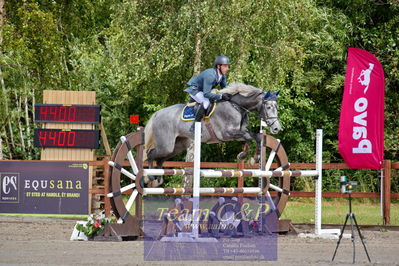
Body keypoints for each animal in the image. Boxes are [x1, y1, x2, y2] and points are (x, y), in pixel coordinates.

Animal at [144, 83, 282, 187]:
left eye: (276, 107)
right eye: (268, 107)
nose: (276, 128)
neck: (237, 107)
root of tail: (157, 114)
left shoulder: (240, 132)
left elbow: (253, 137)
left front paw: (247, 156)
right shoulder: (226, 134)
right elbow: (251, 136)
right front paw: (250, 157)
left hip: (176, 147)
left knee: (160, 159)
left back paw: (158, 179)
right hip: (166, 145)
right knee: (151, 154)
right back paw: (149, 177)